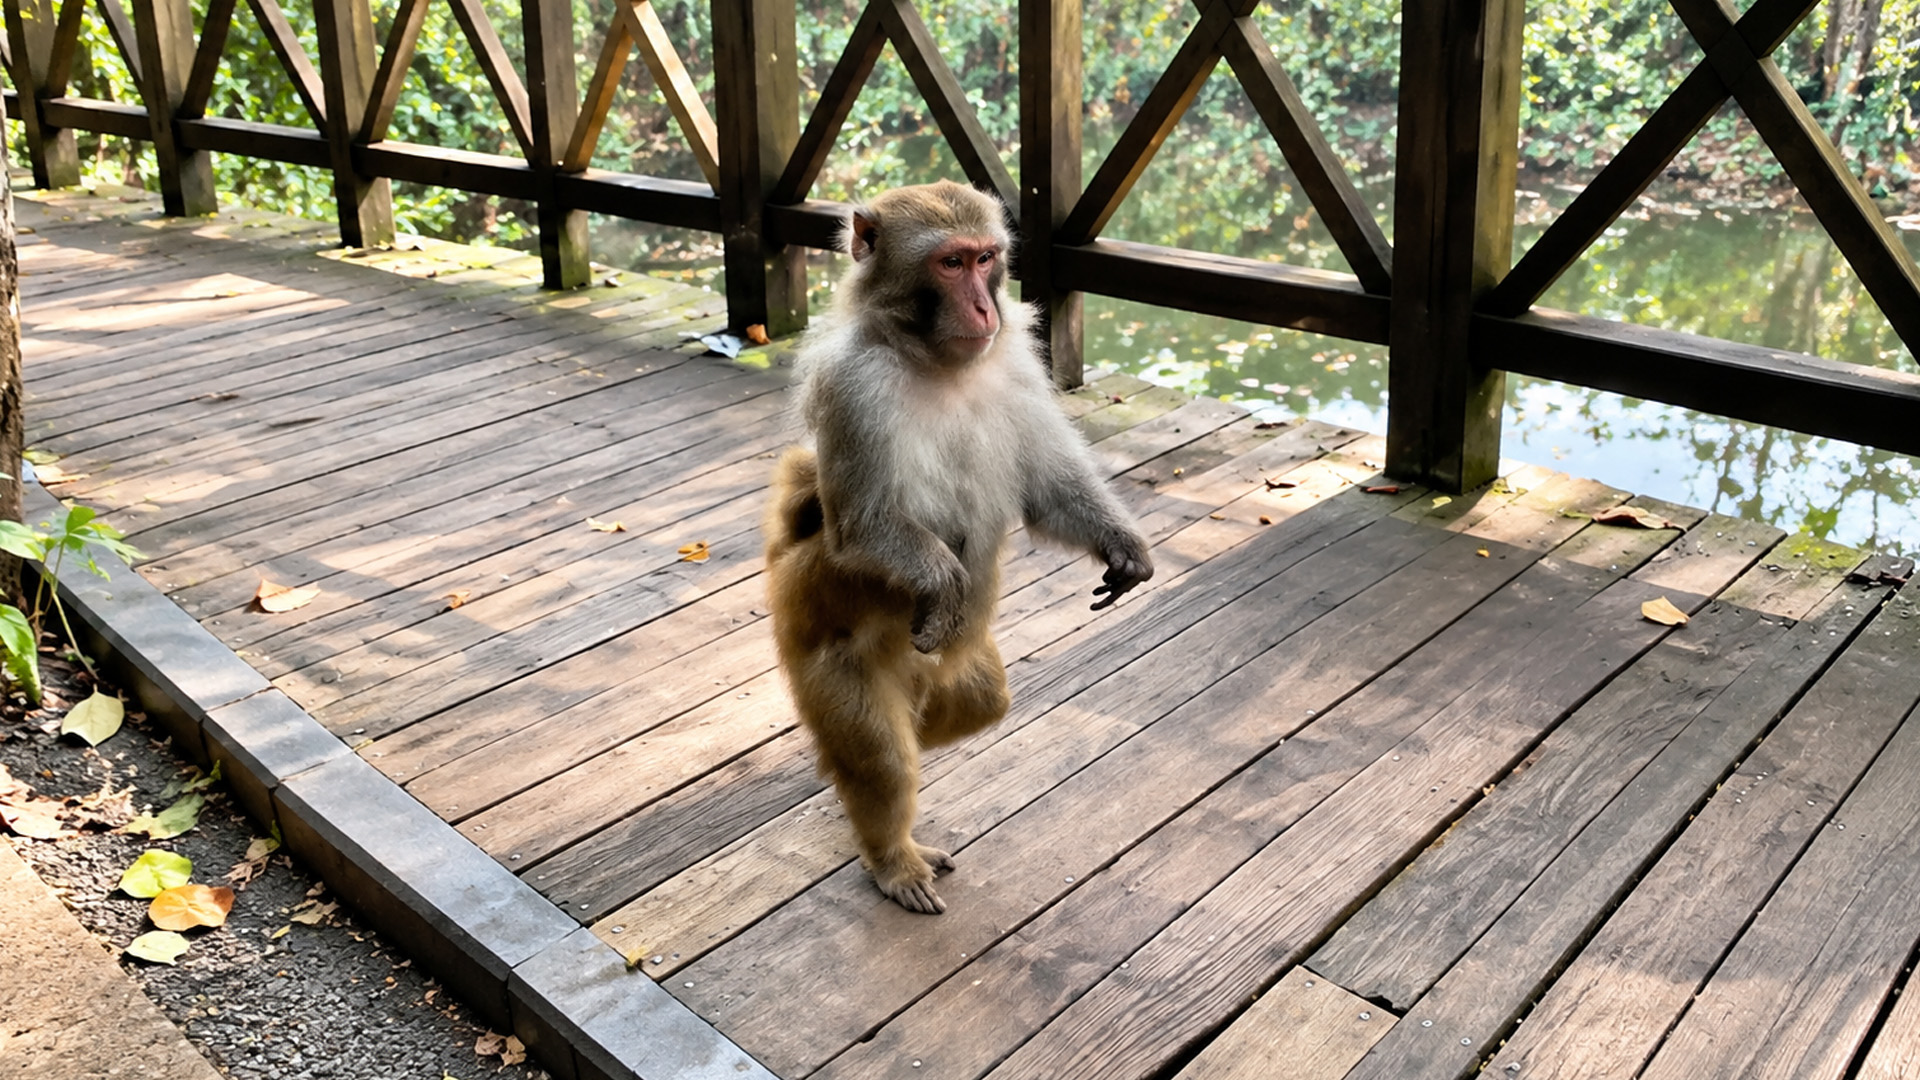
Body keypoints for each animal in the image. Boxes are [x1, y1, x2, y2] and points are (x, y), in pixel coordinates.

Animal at [763, 180, 1153, 914]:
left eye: (984, 259)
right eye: (949, 263)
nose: (982, 306)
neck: (932, 362)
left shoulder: (1019, 363)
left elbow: (1046, 485)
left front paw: (1121, 543)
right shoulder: (854, 387)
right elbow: (863, 524)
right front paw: (942, 587)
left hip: (946, 671)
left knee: (977, 700)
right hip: (818, 645)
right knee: (882, 754)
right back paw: (891, 855)